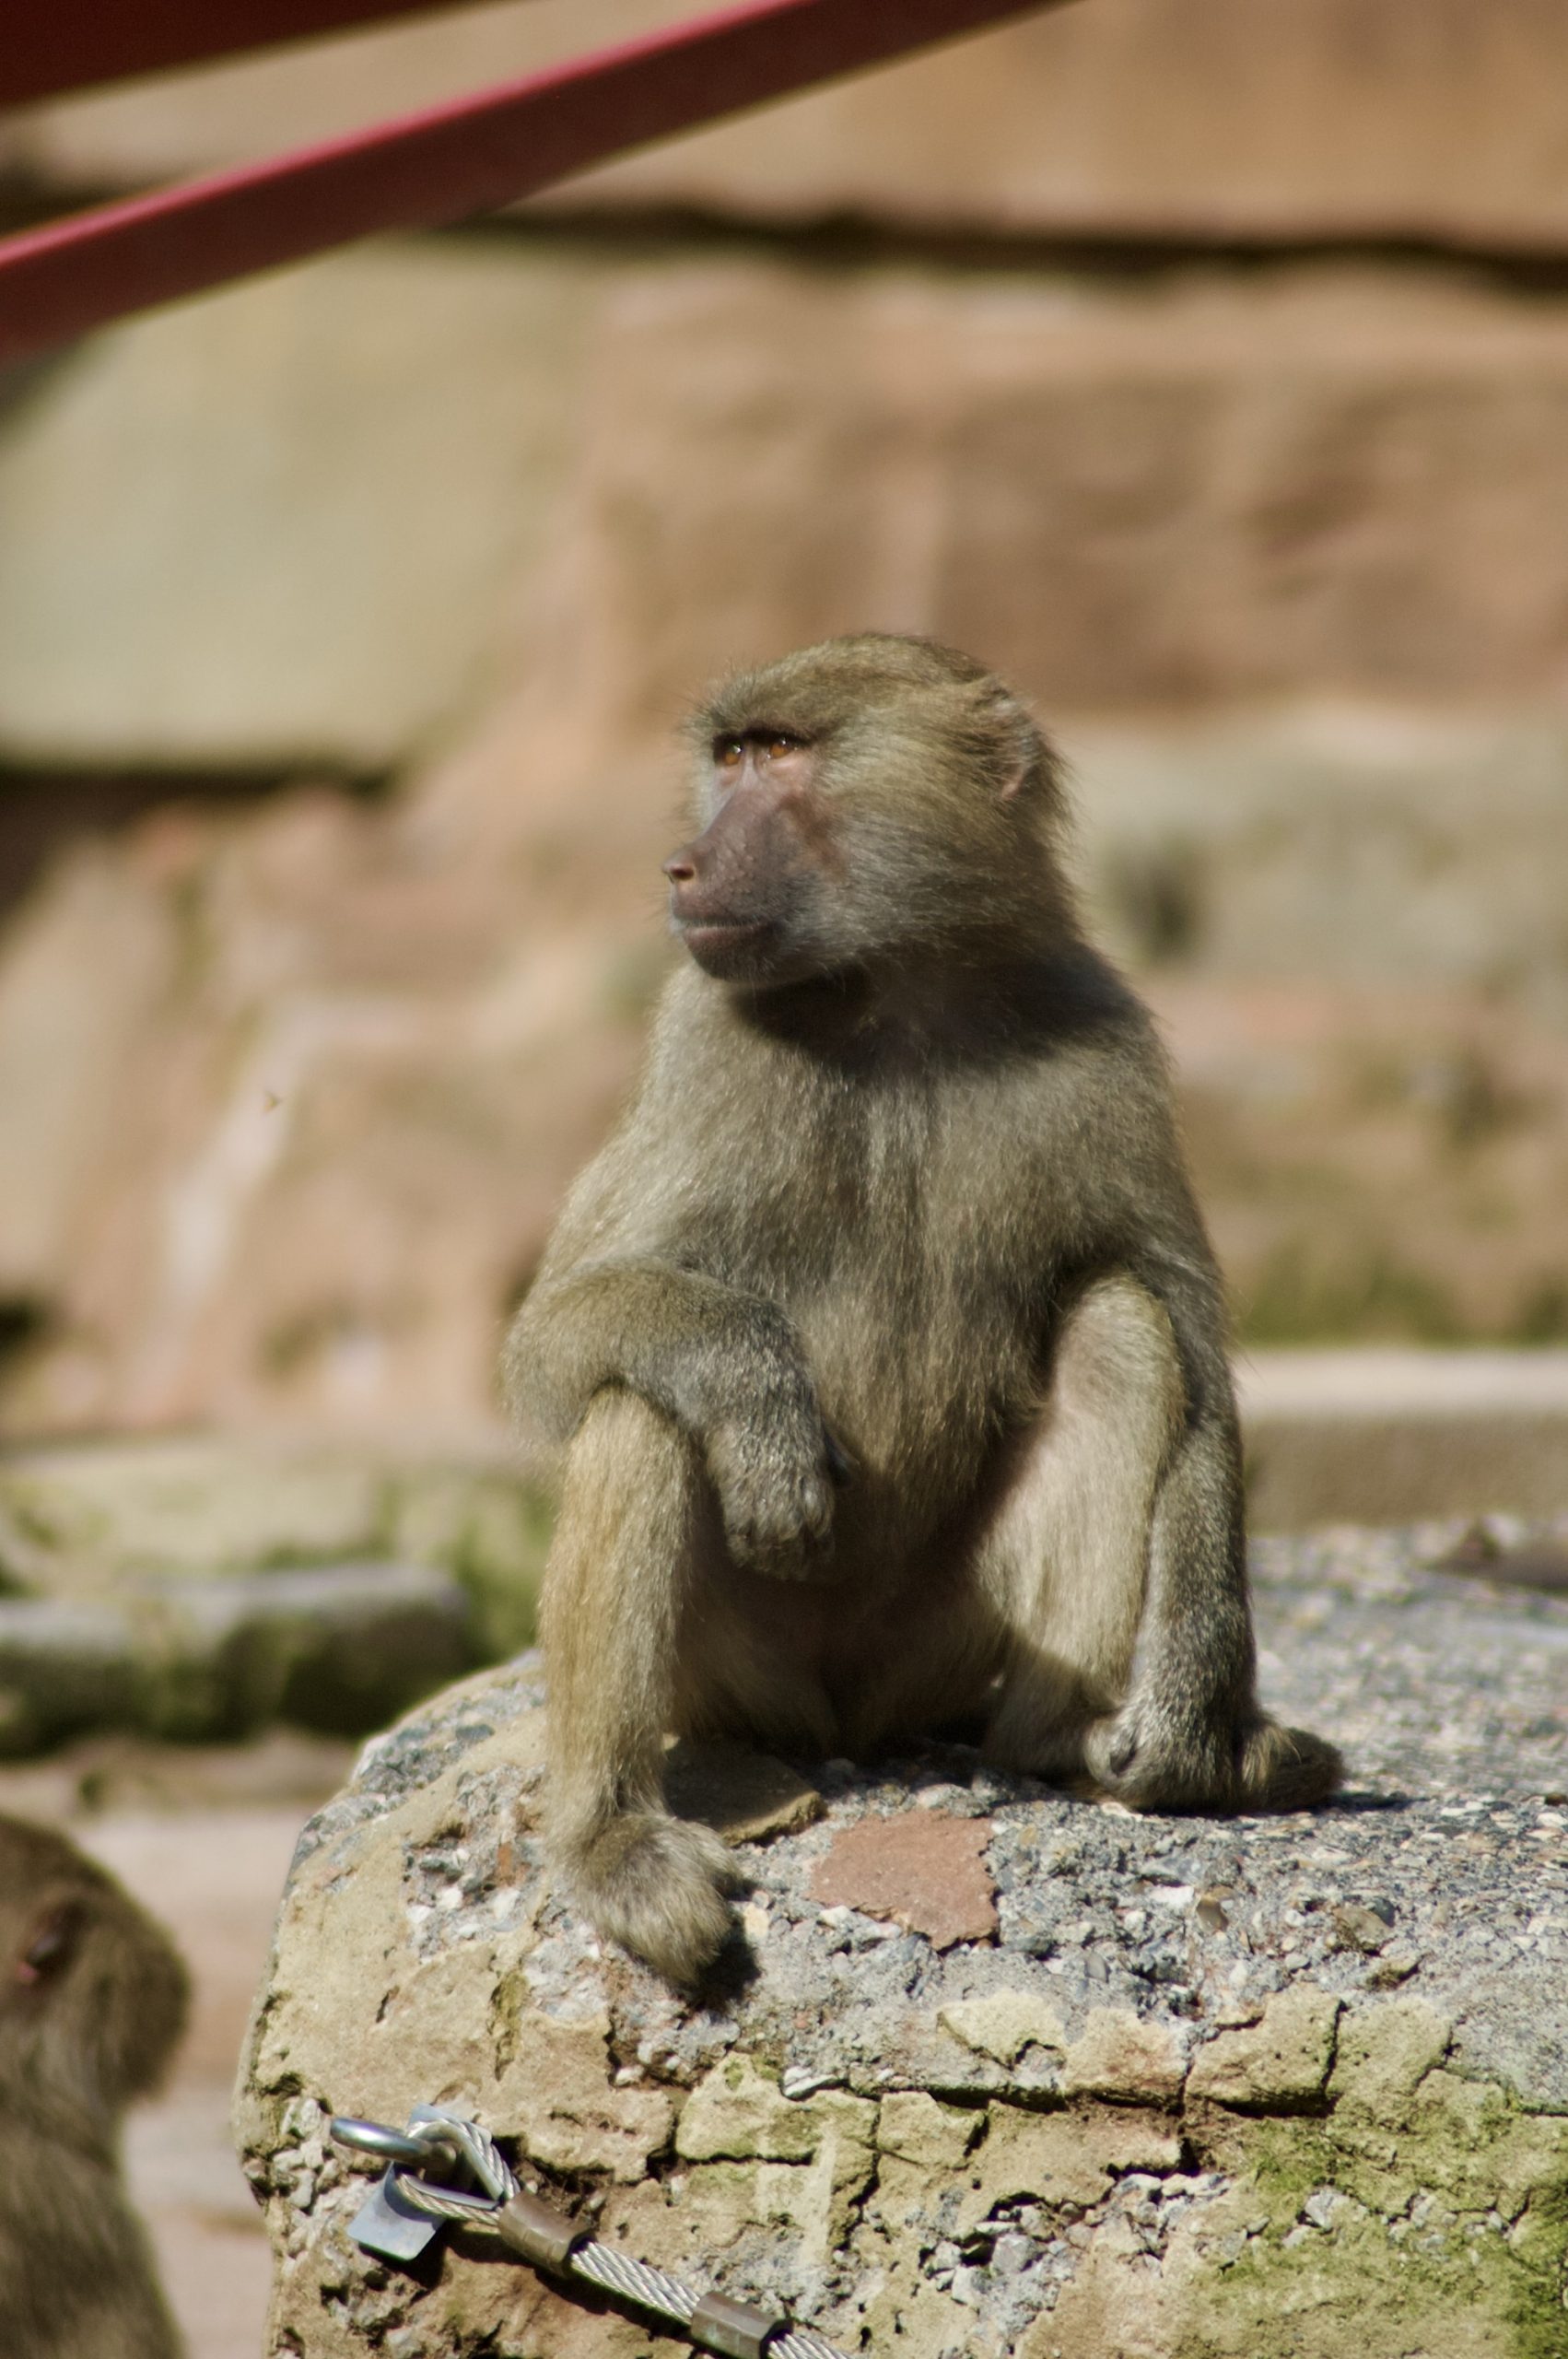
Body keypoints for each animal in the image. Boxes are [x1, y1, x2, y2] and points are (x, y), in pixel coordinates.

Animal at [505, 632, 1341, 1985]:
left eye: (780, 754)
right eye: (729, 756)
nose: (681, 865)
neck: (894, 986)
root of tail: (849, 1722)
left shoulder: (1101, 1038)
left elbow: (1181, 1331)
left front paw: (1194, 1694)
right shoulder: (698, 1042)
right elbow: (552, 1342)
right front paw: (757, 1397)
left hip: (942, 1644)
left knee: (1118, 1327)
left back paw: (1068, 1742)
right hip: (739, 1675)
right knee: (640, 1395)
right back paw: (613, 1837)